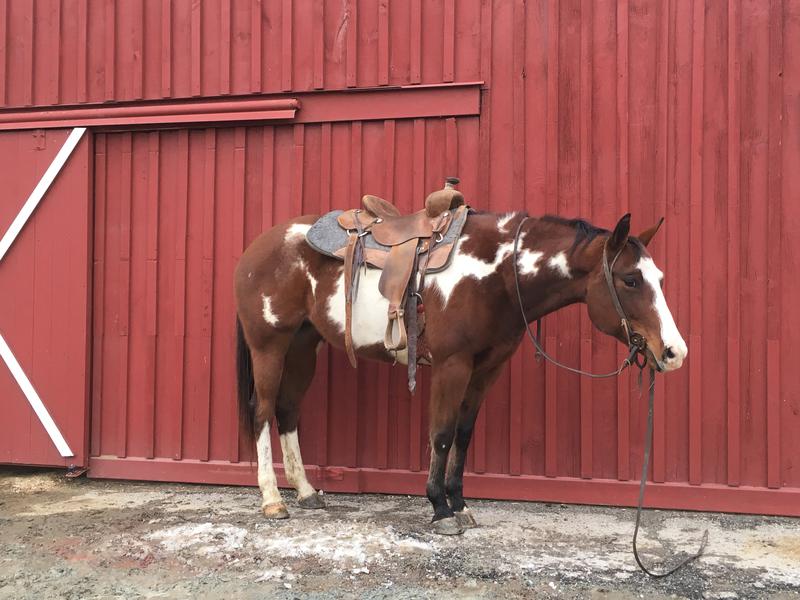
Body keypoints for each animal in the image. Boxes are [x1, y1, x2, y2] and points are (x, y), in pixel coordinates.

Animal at [234, 198, 687, 535]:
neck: (496, 273)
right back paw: (273, 500)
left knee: (288, 409)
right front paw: (440, 509)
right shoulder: (451, 365)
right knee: (262, 410)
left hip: (303, 346)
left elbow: (464, 435)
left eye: (661, 278)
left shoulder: (486, 368)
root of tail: (257, 247)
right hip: (269, 345)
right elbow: (441, 434)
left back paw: (307, 491)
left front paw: (460, 503)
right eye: (630, 279)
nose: (674, 352)